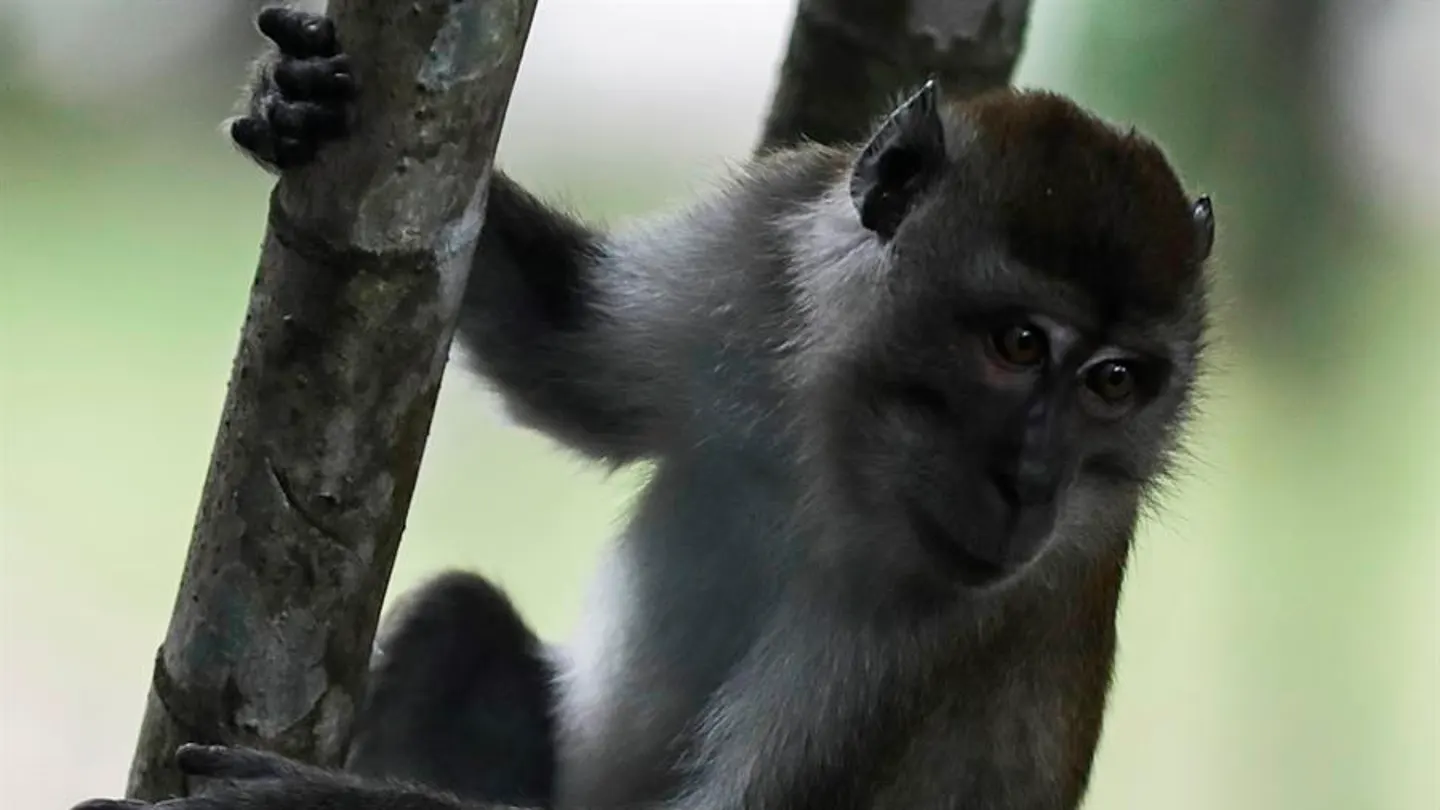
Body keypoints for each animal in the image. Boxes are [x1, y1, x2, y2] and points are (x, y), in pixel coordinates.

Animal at [74, 6, 1216, 810]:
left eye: (1115, 383)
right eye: (1018, 345)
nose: (1032, 483)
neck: (845, 448)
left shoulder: (940, 634)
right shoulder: (757, 251)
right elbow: (569, 354)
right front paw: (295, 97)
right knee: (457, 623)